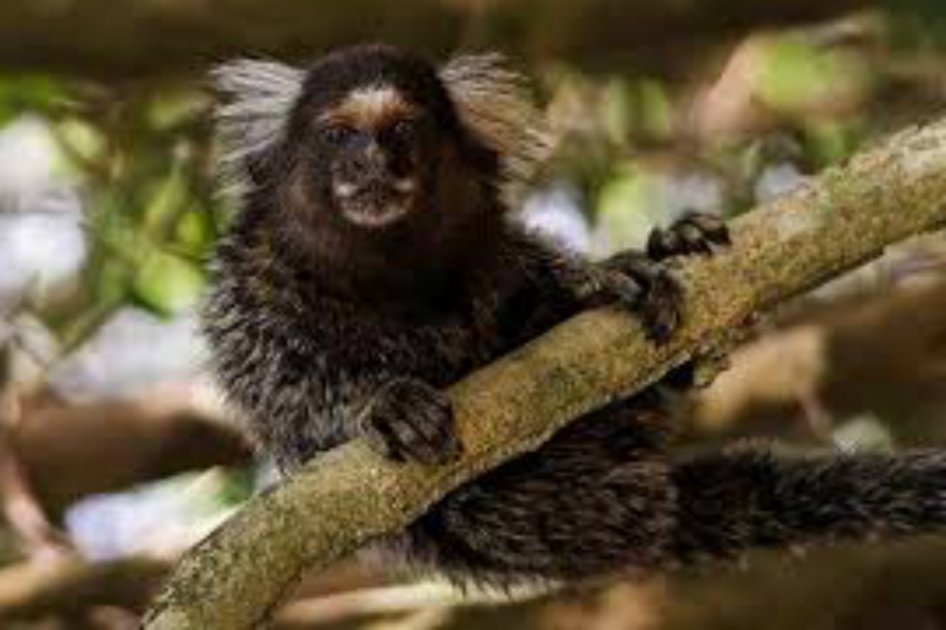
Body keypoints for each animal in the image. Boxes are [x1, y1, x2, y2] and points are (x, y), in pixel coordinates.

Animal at [202, 44, 946, 589]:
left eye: (403, 129)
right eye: (339, 135)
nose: (372, 165)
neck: (388, 275)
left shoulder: (500, 254)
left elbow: (537, 284)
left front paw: (598, 284)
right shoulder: (250, 286)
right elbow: (281, 390)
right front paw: (376, 404)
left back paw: (670, 281)